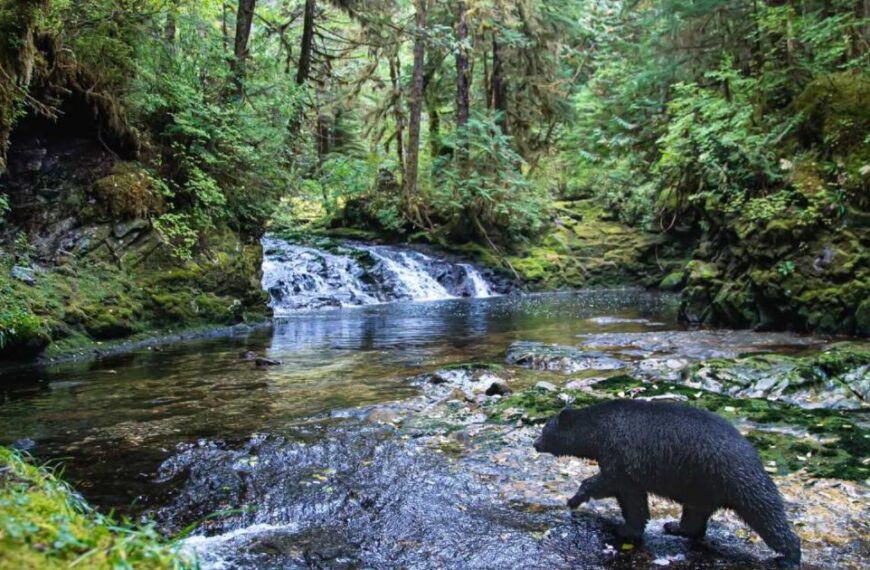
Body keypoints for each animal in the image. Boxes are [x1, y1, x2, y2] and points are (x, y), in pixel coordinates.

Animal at [533, 399, 801, 568]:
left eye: (545, 430)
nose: (535, 443)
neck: (598, 431)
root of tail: (752, 450)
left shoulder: (620, 454)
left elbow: (612, 484)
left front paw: (577, 499)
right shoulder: (629, 466)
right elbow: (632, 497)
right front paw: (629, 528)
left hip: (735, 477)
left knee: (765, 512)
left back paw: (789, 555)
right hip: (701, 484)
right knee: (696, 512)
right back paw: (676, 527)